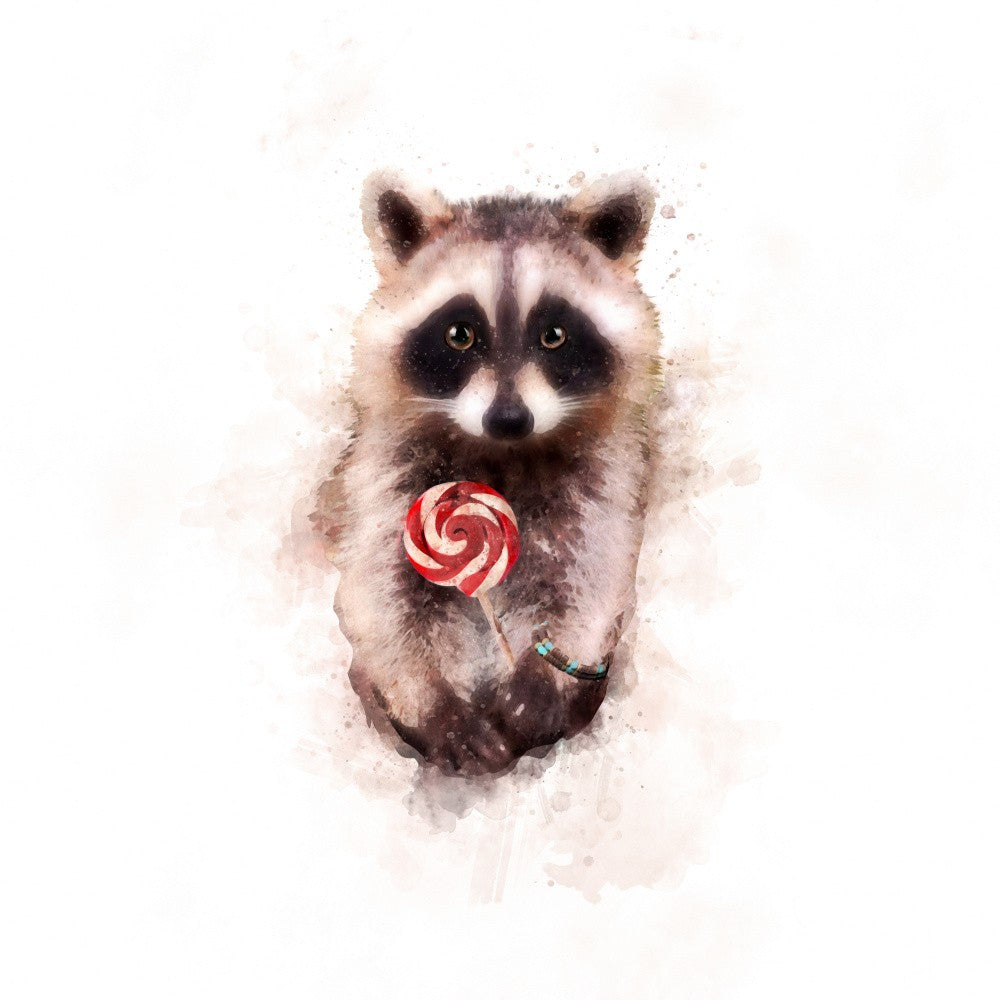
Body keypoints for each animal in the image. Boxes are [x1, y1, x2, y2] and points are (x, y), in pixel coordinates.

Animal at [312, 169, 662, 776]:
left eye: (554, 335)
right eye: (459, 334)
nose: (508, 418)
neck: (503, 456)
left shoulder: (604, 472)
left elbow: (591, 568)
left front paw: (545, 674)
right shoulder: (385, 476)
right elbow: (384, 595)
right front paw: (433, 703)